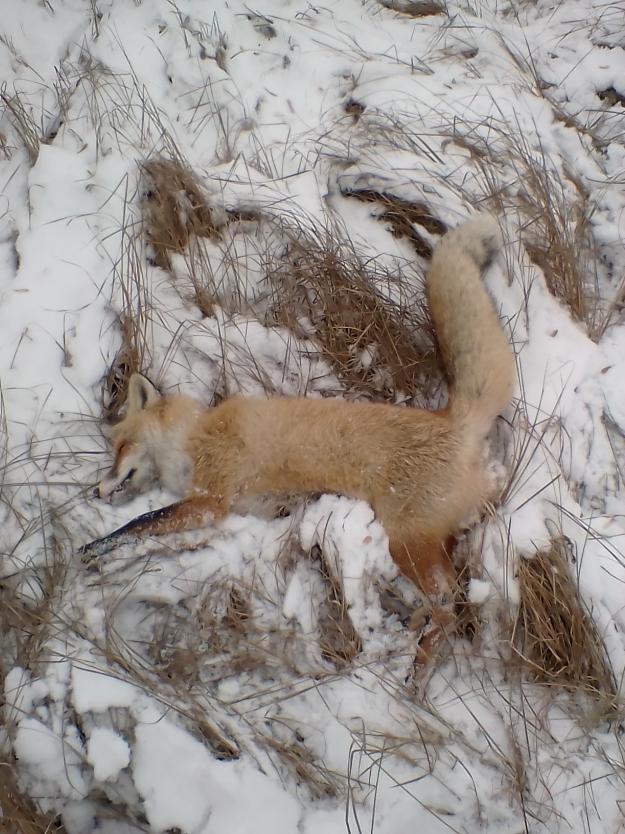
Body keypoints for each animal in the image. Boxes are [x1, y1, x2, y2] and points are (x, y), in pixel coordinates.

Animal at [80, 216, 515, 662]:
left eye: (120, 447)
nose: (95, 490)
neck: (194, 437)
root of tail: (452, 418)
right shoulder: (221, 508)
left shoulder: (210, 501)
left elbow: (140, 521)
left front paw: (94, 548)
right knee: (452, 593)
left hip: (406, 542)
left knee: (448, 604)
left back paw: (418, 664)